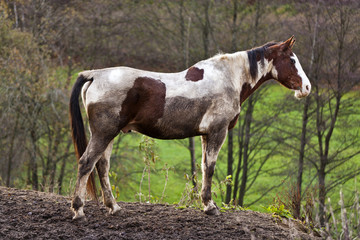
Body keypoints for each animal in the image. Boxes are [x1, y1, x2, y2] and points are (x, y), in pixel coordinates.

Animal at [69, 36, 310, 219]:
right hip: (104, 133)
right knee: (86, 163)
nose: (307, 87)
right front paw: (210, 206)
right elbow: (210, 168)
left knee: (102, 166)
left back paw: (113, 207)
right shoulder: (218, 131)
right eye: (291, 60)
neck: (228, 77)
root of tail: (95, 74)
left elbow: (203, 167)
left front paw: (206, 203)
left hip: (109, 134)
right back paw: (79, 209)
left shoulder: (205, 135)